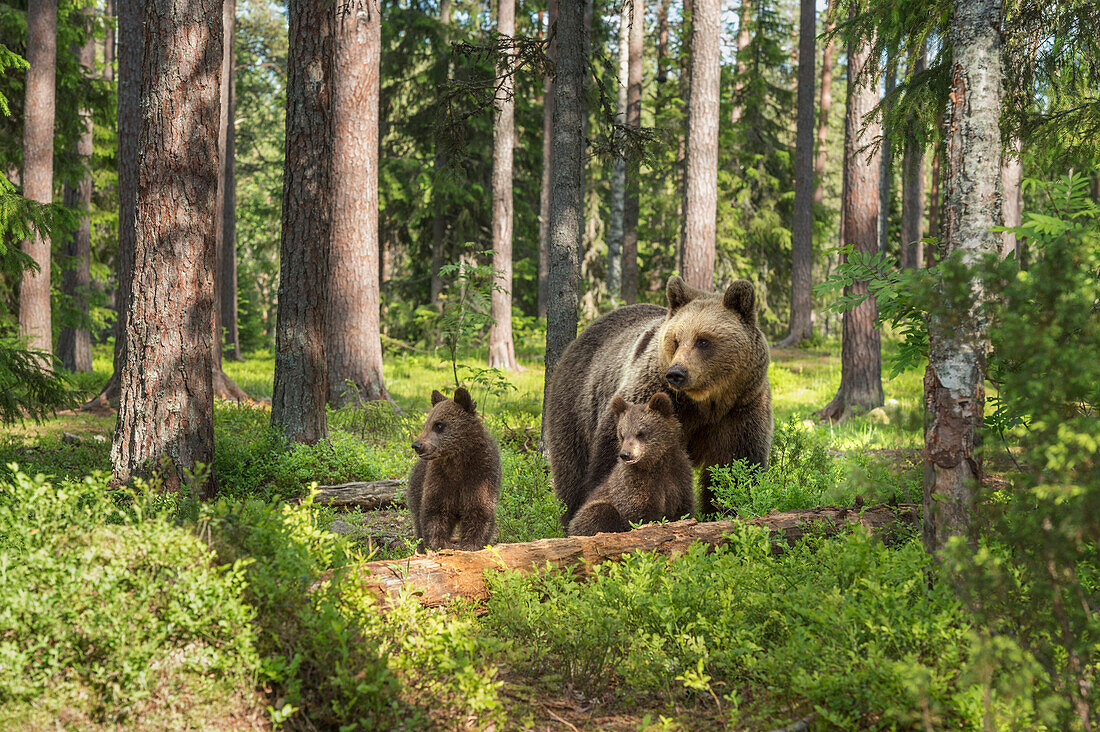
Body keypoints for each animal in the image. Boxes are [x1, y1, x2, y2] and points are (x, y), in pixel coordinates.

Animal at [543, 270, 774, 521]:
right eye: (676, 340)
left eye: (703, 340)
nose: (676, 373)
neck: (705, 402)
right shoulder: (652, 393)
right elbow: (611, 459)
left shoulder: (740, 409)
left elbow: (734, 466)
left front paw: (727, 510)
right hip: (576, 405)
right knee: (571, 469)